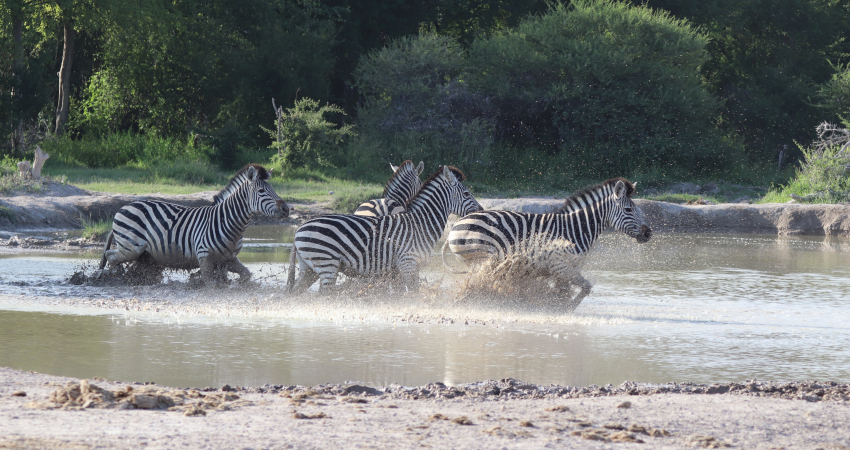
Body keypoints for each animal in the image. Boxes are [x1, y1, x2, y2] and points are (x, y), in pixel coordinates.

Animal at [99, 164, 288, 284]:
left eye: (273, 189)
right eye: (261, 191)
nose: (286, 208)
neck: (229, 223)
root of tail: (124, 207)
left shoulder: (229, 259)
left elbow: (246, 275)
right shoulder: (205, 258)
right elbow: (211, 286)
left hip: (144, 254)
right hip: (130, 248)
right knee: (110, 255)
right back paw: (116, 278)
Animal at [288, 163, 480, 294]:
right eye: (466, 194)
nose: (480, 210)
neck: (420, 224)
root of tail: (299, 229)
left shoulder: (400, 270)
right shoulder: (408, 264)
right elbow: (414, 295)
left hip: (309, 268)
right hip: (327, 263)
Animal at [444, 179, 648, 306]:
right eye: (629, 210)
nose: (649, 233)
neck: (575, 229)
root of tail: (457, 224)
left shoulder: (567, 268)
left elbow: (566, 290)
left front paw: (556, 306)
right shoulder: (559, 264)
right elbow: (585, 287)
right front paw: (567, 309)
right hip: (483, 258)